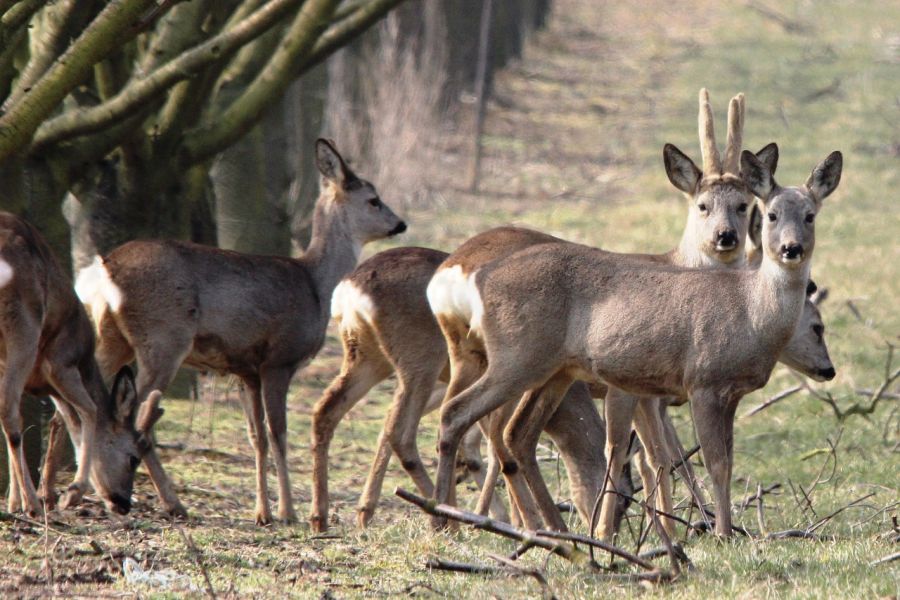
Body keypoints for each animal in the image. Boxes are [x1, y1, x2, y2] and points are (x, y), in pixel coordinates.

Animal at [0, 211, 160, 516]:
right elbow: (90, 409)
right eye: (133, 457)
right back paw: (34, 504)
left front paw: (13, 501)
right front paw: (73, 491)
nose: (124, 503)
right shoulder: (62, 363)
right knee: (9, 410)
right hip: (24, 327)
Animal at [72, 138, 406, 524]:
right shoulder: (279, 359)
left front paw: (263, 512)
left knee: (81, 401)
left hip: (113, 336)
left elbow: (256, 437)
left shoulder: (246, 369)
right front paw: (287, 511)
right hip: (163, 338)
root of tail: (102, 270)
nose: (400, 223)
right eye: (373, 199)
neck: (316, 286)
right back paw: (170, 502)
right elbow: (278, 433)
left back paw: (70, 492)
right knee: (137, 418)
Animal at [310, 246, 604, 532]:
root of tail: (351, 286)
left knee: (329, 411)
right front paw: (522, 521)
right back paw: (444, 516)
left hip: (369, 361)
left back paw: (328, 517)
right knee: (401, 432)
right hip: (419, 367)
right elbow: (498, 446)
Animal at [432, 148, 840, 536]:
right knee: (458, 413)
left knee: (516, 433)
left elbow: (710, 460)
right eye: (771, 214)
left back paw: (554, 529)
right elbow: (712, 462)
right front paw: (722, 533)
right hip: (515, 357)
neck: (750, 311)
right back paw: (445, 519)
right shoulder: (702, 382)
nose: (791, 249)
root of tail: (476, 279)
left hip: (553, 371)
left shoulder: (726, 393)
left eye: (810, 215)